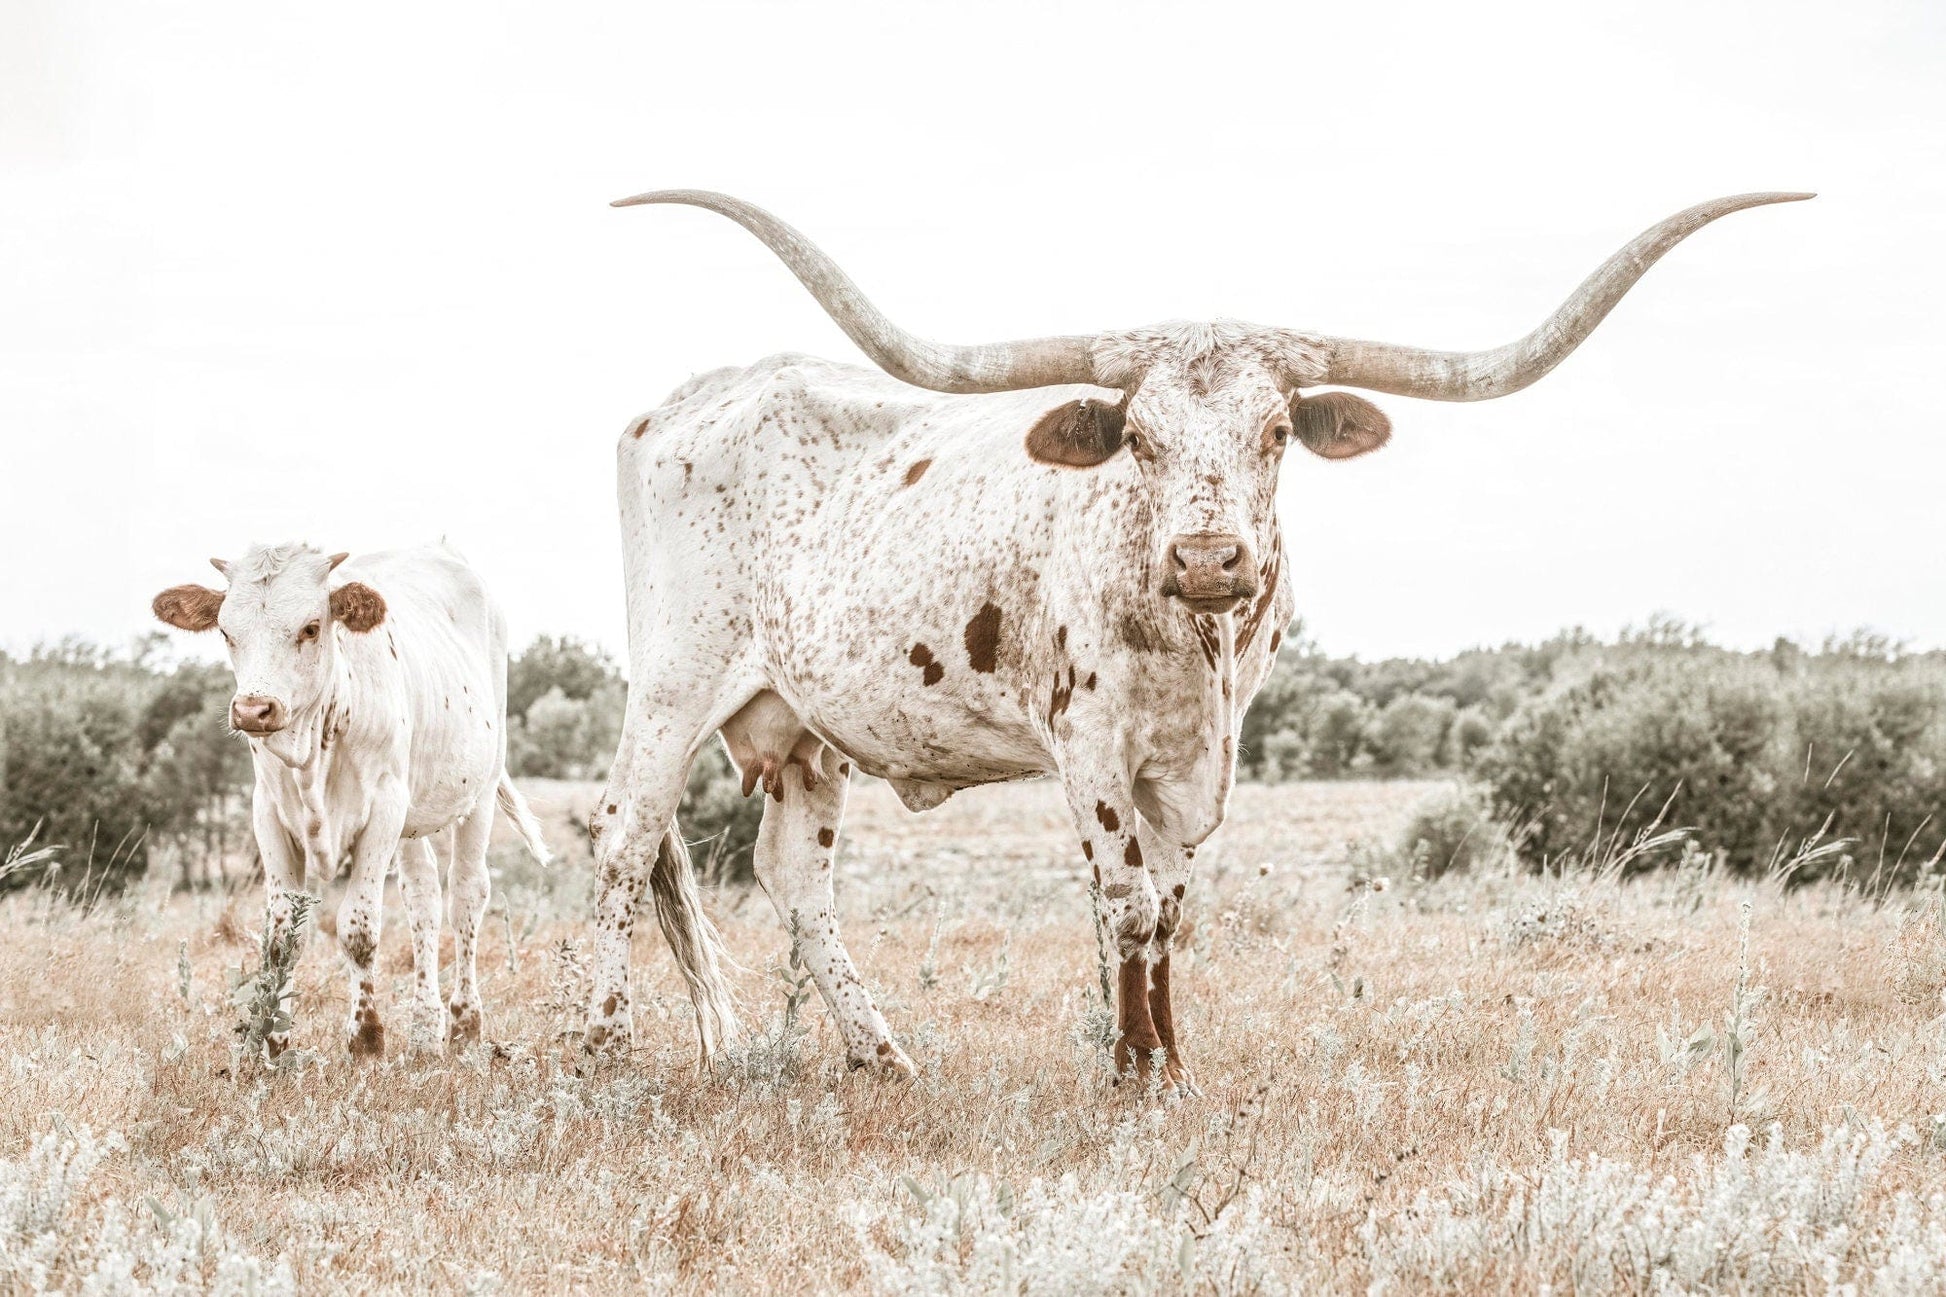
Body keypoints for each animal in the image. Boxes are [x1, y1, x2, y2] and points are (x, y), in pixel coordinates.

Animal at [152, 542, 556, 1058]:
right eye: (226, 631)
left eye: (311, 627)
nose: (253, 710)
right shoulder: (268, 812)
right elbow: (281, 938)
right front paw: (273, 1039)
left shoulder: (382, 808)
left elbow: (359, 930)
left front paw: (366, 1036)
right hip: (412, 815)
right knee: (423, 897)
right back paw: (425, 1028)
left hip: (479, 791)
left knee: (466, 894)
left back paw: (465, 1023)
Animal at [589, 189, 1809, 1088]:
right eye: (1138, 436)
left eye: (1274, 431)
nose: (1212, 558)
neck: (1191, 642)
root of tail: (684, 400)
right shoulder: (1090, 747)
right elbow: (1124, 899)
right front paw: (1130, 1069)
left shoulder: (1193, 759)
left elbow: (1171, 909)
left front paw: (1170, 1063)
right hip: (672, 687)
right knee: (624, 840)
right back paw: (601, 1051)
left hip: (805, 726)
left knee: (794, 877)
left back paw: (881, 1055)